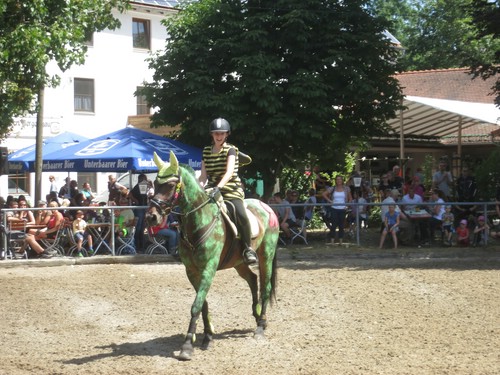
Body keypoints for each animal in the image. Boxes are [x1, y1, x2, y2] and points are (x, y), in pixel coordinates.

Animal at [146, 151, 282, 362]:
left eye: (169, 185)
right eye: (154, 183)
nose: (152, 217)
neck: (198, 219)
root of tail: (265, 205)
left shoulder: (208, 268)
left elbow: (196, 305)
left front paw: (187, 346)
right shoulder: (192, 271)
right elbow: (203, 303)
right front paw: (207, 336)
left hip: (266, 254)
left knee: (265, 287)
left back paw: (260, 326)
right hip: (238, 262)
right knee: (252, 279)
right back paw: (257, 314)